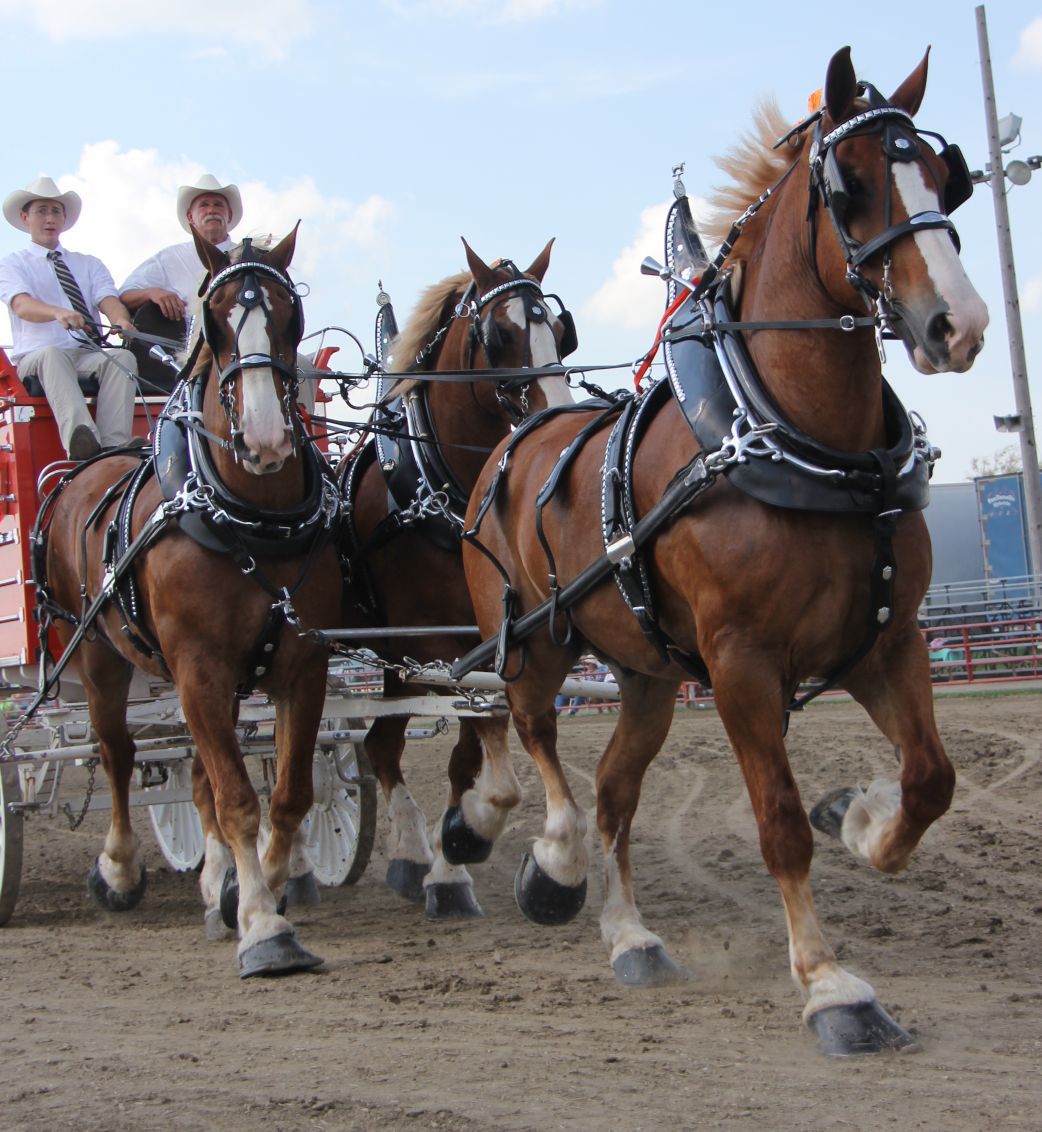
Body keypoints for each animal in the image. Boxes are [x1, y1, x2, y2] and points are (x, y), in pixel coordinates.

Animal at [33, 227, 337, 973]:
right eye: (215, 320)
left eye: (290, 319)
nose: (265, 438)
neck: (248, 521)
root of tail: (87, 465)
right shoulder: (198, 666)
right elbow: (236, 798)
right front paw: (263, 925)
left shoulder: (301, 665)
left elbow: (287, 794)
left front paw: (252, 889)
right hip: (100, 656)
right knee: (117, 754)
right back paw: (117, 869)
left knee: (196, 771)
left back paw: (215, 878)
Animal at [342, 241, 573, 919]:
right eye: (499, 335)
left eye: (560, 331)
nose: (556, 417)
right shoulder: (430, 645)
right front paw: (444, 851)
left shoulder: (482, 641)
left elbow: (466, 760)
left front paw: (454, 853)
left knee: (380, 744)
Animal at [459, 48, 987, 1055]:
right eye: (850, 183)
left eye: (950, 180)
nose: (960, 324)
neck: (801, 441)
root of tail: (515, 437)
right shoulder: (742, 663)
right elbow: (779, 823)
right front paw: (829, 986)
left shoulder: (885, 641)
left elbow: (931, 780)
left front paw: (861, 817)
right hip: (533, 639)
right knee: (537, 737)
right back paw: (551, 862)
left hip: (647, 672)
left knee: (616, 789)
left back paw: (630, 936)